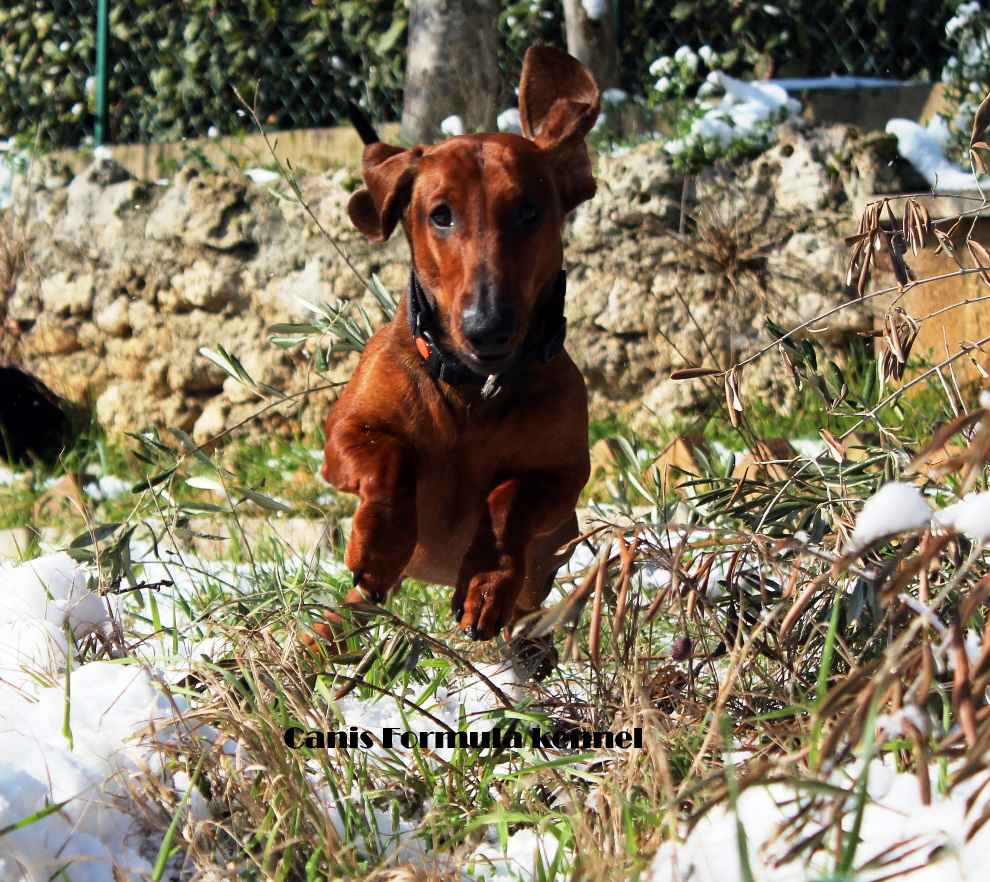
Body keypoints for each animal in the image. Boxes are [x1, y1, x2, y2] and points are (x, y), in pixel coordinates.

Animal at [320, 46, 596, 648]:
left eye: (529, 211)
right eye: (440, 214)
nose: (486, 326)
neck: (474, 390)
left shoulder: (563, 476)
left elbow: (508, 498)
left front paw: (485, 581)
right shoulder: (343, 436)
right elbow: (391, 456)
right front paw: (379, 541)